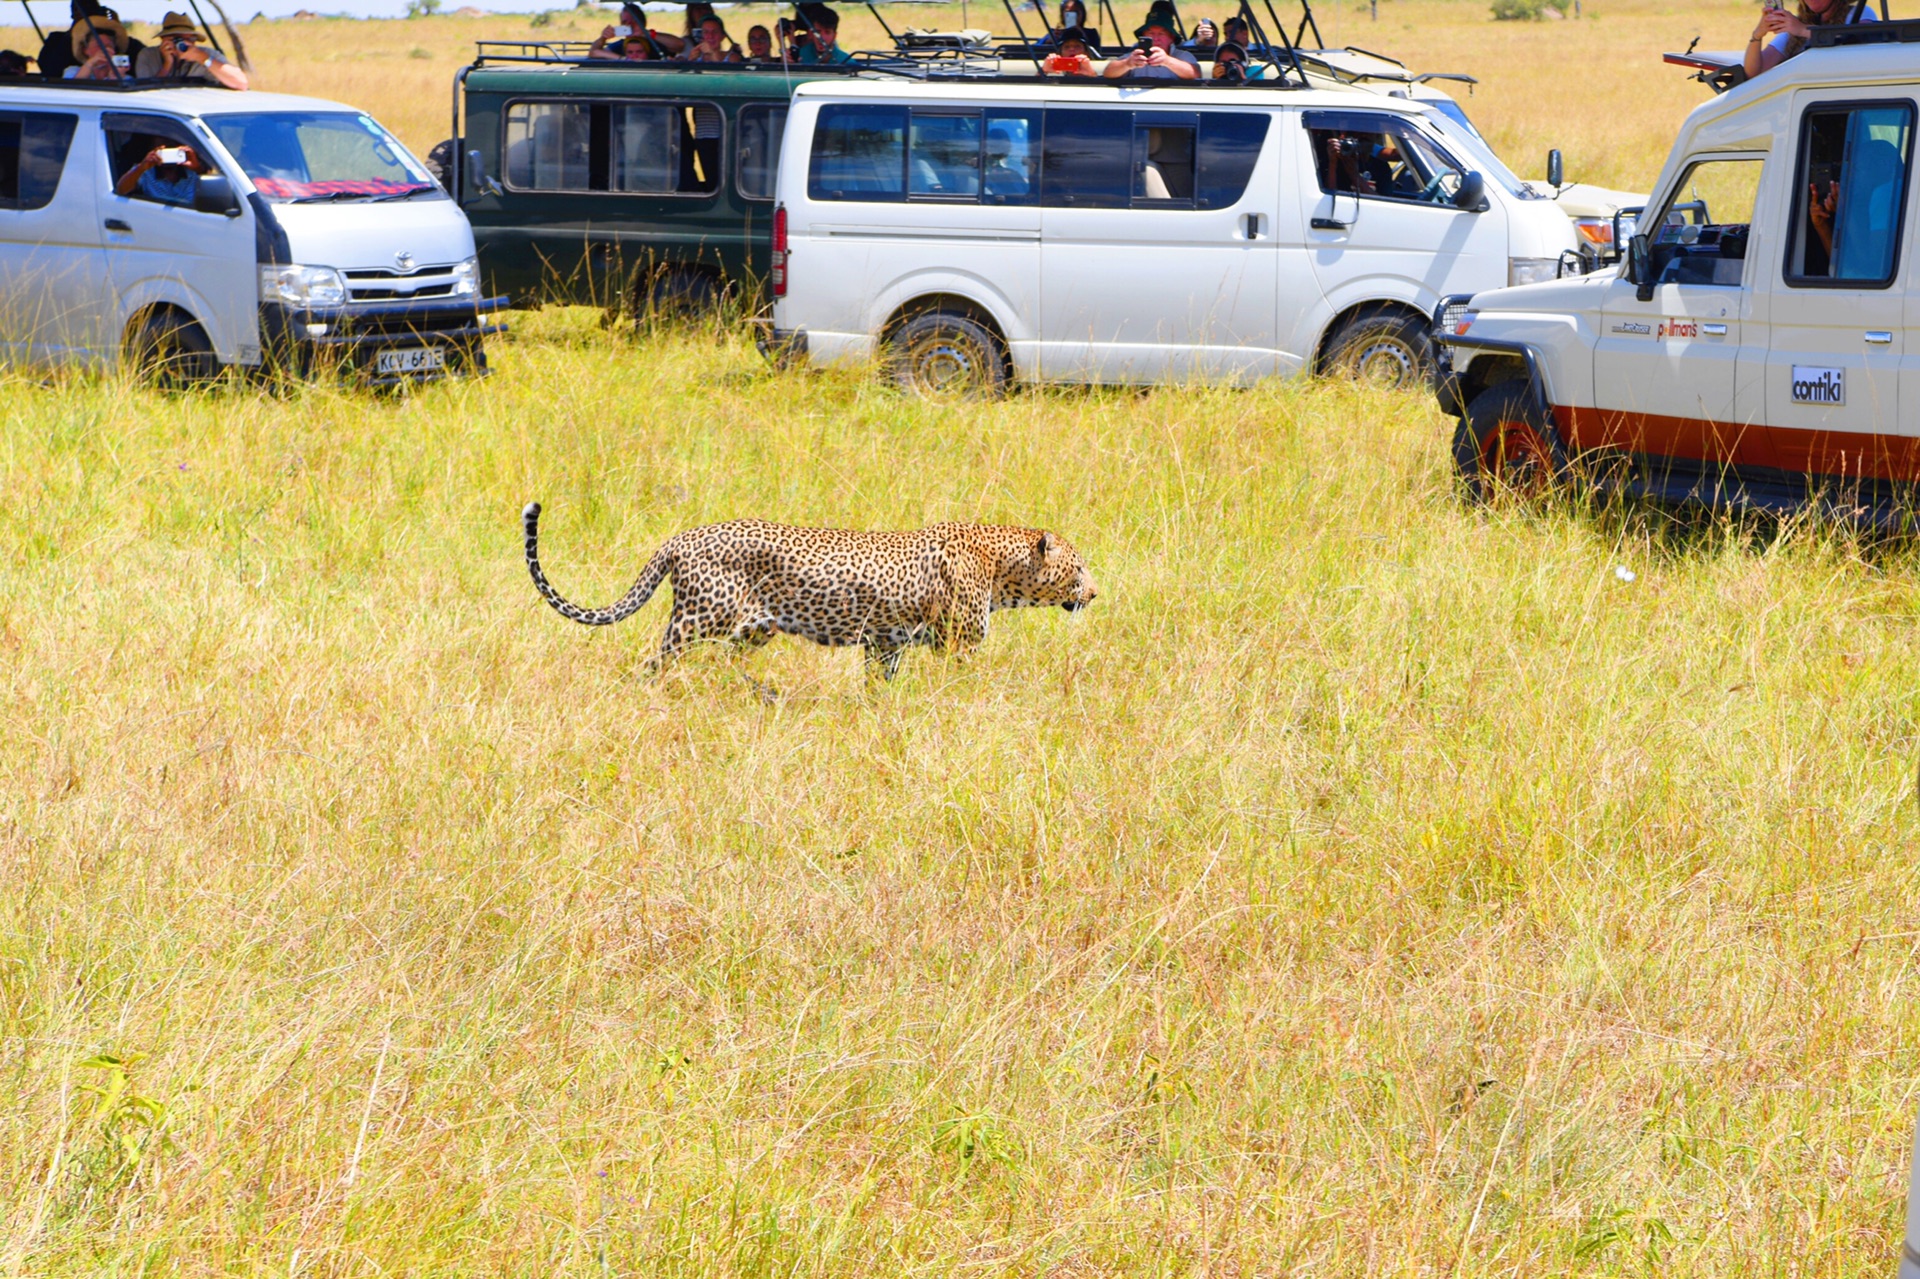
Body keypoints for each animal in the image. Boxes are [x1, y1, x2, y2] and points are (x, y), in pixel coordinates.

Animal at [526, 499, 1105, 675]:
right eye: (1079, 568)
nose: (1095, 593)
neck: (1003, 569)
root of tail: (680, 537)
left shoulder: (884, 643)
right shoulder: (958, 644)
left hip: (749, 630)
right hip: (696, 620)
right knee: (654, 665)